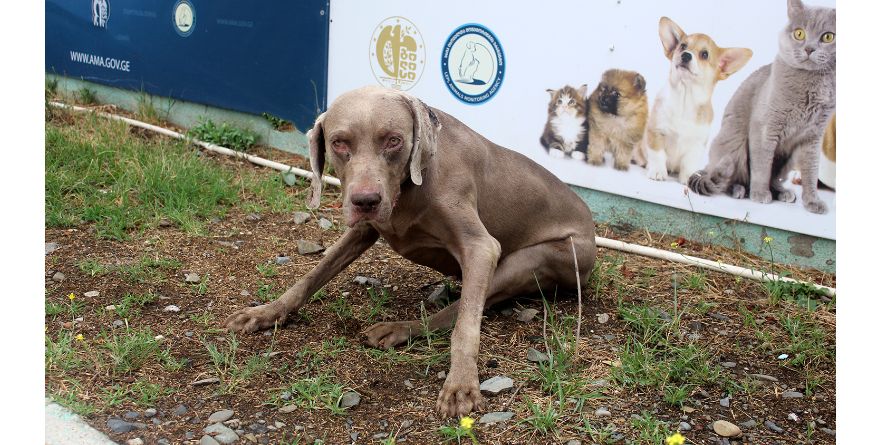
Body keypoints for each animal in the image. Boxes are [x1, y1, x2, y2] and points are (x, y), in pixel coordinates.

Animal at [224, 86, 596, 416]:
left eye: (393, 140)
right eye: (339, 142)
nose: (366, 201)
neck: (410, 185)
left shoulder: (481, 248)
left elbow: (465, 326)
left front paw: (461, 385)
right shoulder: (362, 229)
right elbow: (313, 274)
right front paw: (268, 311)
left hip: (540, 258)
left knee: (454, 313)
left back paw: (401, 329)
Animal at [640, 16, 752, 184]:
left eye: (704, 55)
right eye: (682, 46)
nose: (686, 55)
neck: (685, 99)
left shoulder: (697, 144)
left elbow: (688, 163)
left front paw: (688, 178)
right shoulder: (656, 132)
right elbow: (658, 155)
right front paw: (658, 171)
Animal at [692, 0, 836, 213]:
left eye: (828, 37)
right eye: (799, 33)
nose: (809, 49)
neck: (812, 87)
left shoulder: (813, 138)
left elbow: (811, 172)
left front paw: (812, 202)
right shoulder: (765, 129)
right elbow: (762, 166)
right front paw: (759, 194)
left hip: (788, 159)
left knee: (774, 177)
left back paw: (781, 192)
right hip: (734, 146)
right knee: (727, 178)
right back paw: (740, 190)